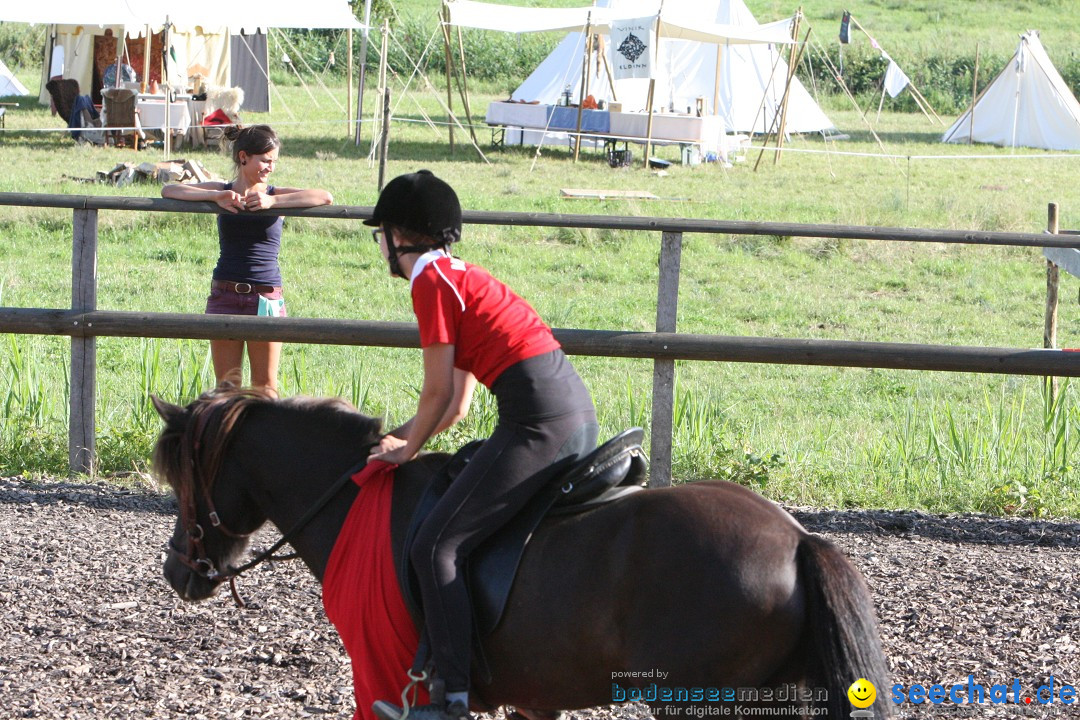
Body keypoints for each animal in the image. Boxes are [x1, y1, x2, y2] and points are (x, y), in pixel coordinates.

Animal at [154, 388, 894, 720]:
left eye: (186, 480)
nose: (176, 571)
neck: (358, 501)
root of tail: (798, 540)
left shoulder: (388, 684)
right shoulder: (535, 698)